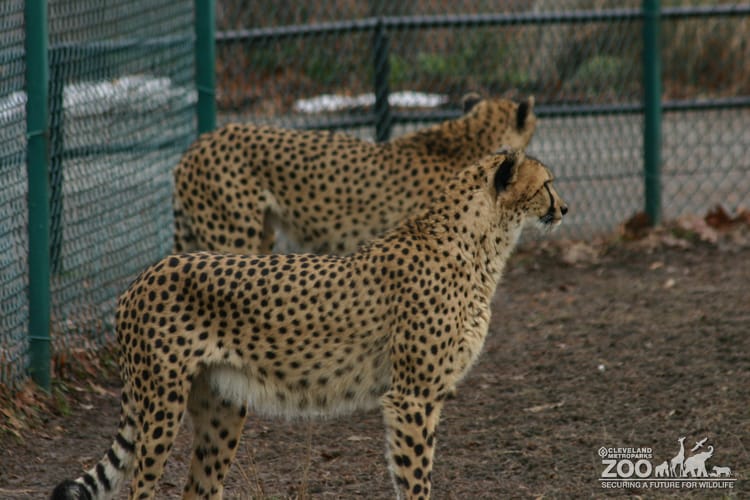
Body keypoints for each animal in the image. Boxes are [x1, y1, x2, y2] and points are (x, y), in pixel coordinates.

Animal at [52, 148, 566, 500]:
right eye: (547, 183)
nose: (564, 209)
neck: (480, 245)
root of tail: (142, 274)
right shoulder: (412, 397)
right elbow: (415, 480)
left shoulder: (417, 396)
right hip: (161, 402)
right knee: (142, 488)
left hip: (221, 406)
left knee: (197, 488)